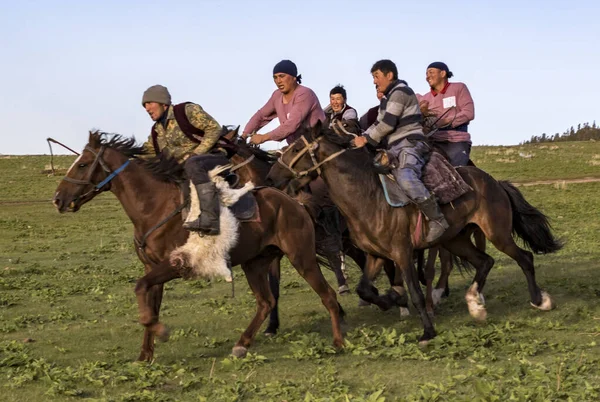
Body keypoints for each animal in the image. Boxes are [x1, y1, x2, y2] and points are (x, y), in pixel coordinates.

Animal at [54, 132, 344, 362]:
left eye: (82, 164)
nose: (58, 199)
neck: (155, 206)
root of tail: (295, 203)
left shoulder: (174, 265)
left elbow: (140, 290)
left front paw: (161, 332)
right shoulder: (152, 268)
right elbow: (148, 301)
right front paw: (145, 354)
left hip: (301, 258)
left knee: (327, 295)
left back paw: (339, 342)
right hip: (255, 263)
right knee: (265, 302)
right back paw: (241, 345)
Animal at [268, 122, 564, 342]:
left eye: (296, 147)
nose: (272, 176)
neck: (368, 196)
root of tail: (494, 182)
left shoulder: (402, 253)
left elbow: (416, 293)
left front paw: (427, 331)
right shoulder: (377, 255)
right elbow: (365, 289)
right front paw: (391, 299)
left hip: (497, 233)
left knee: (524, 258)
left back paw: (539, 301)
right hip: (456, 240)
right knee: (485, 262)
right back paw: (475, 305)